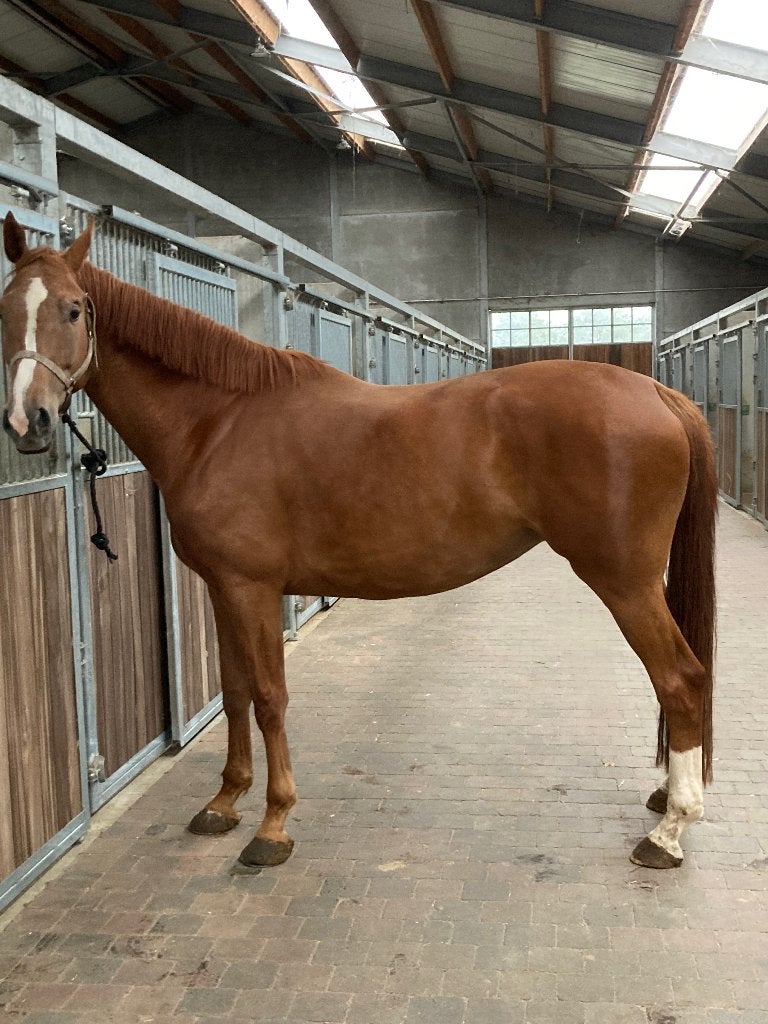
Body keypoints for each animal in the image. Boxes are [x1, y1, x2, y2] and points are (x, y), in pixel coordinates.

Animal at [1, 212, 717, 870]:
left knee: (680, 679)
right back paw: (664, 799)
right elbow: (234, 692)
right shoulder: (222, 588)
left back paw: (668, 831)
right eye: (4, 309)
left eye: (72, 309)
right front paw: (224, 802)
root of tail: (656, 391)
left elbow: (269, 697)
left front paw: (273, 825)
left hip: (623, 582)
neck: (216, 421)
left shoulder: (252, 589)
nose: (27, 421)